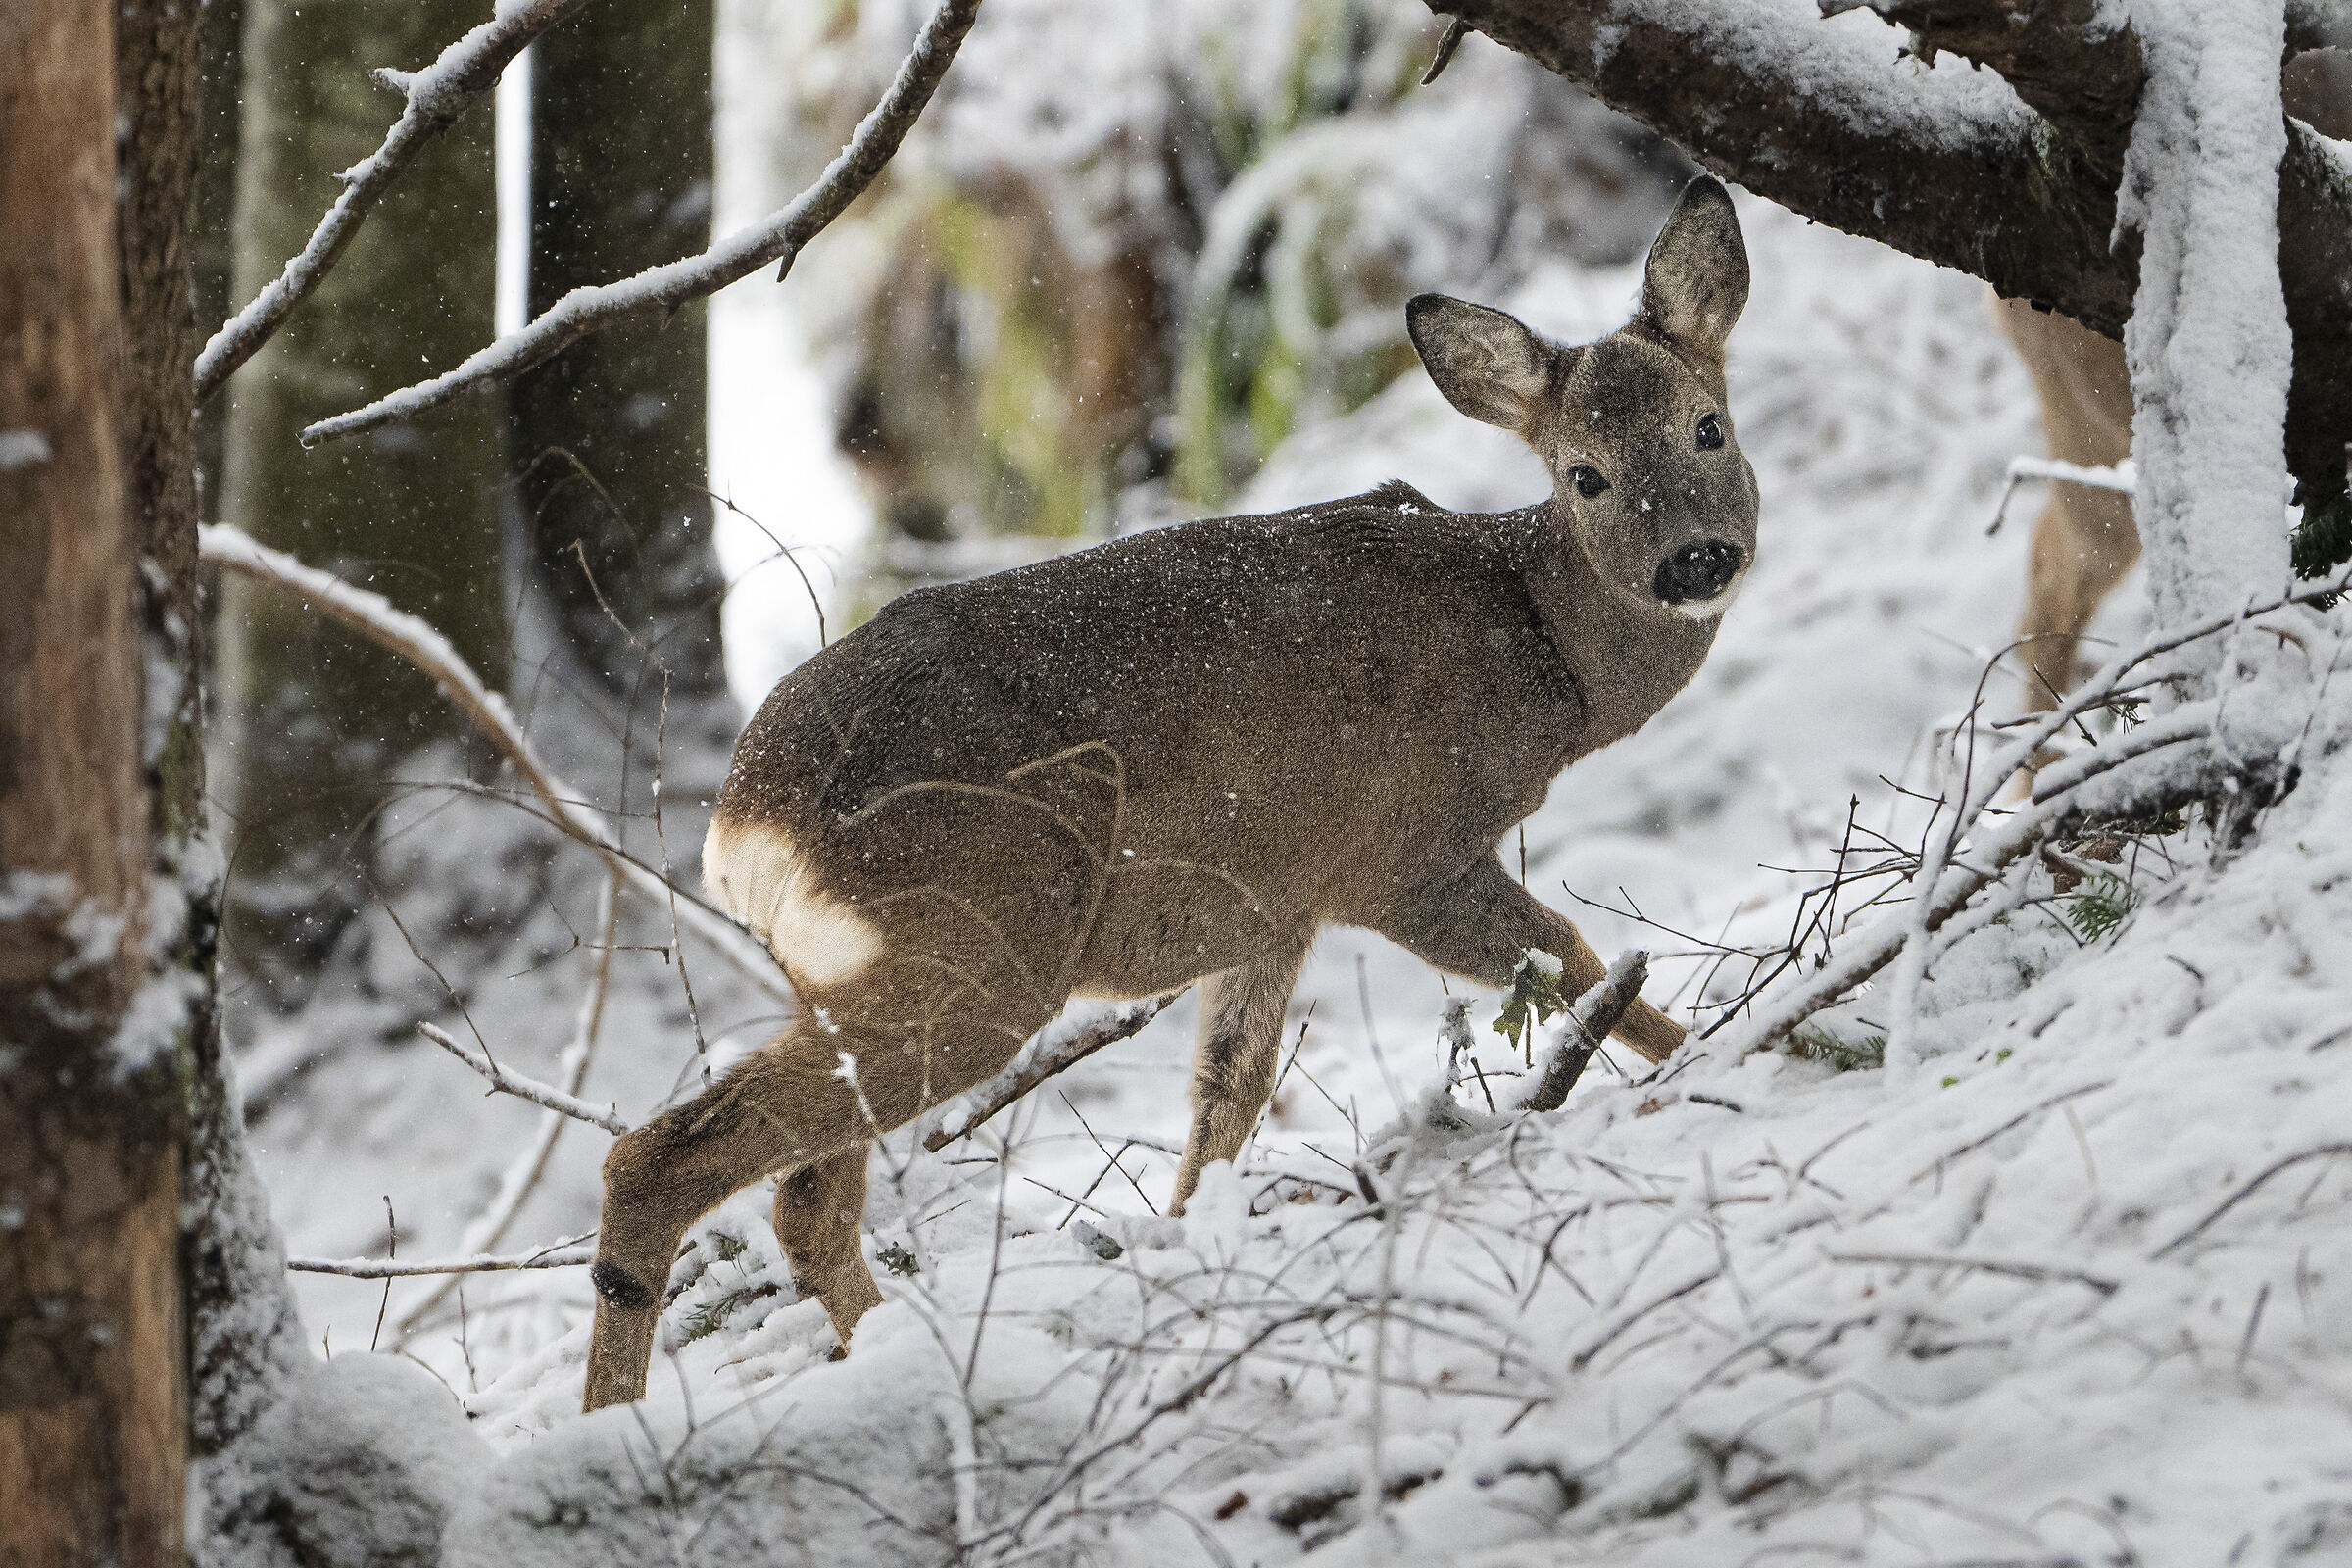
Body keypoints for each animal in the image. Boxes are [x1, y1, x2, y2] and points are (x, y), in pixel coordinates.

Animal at [581, 176, 1756, 1412]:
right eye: (1585, 474)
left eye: (1706, 426)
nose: (1695, 559)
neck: (1538, 650)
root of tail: (740, 823)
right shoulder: (1401, 857)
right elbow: (1574, 960)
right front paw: (1720, 1050)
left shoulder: (1273, 904)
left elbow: (1225, 1098)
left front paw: (1195, 1243)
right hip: (977, 938)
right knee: (665, 1156)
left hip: (862, 966)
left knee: (805, 1200)